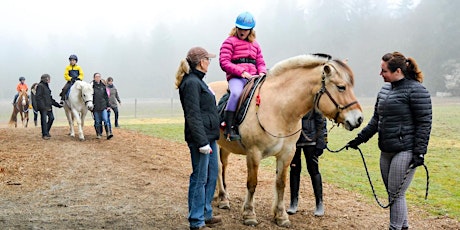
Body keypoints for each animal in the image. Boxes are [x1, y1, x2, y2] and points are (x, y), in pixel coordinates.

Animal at [208, 53, 362, 226]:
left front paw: (281, 216)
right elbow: (252, 183)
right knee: (218, 168)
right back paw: (222, 199)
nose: (359, 119)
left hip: (225, 147)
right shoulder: (254, 153)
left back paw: (221, 196)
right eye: (341, 87)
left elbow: (281, 184)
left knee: (221, 167)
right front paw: (249, 214)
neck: (278, 108)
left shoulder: (287, 153)